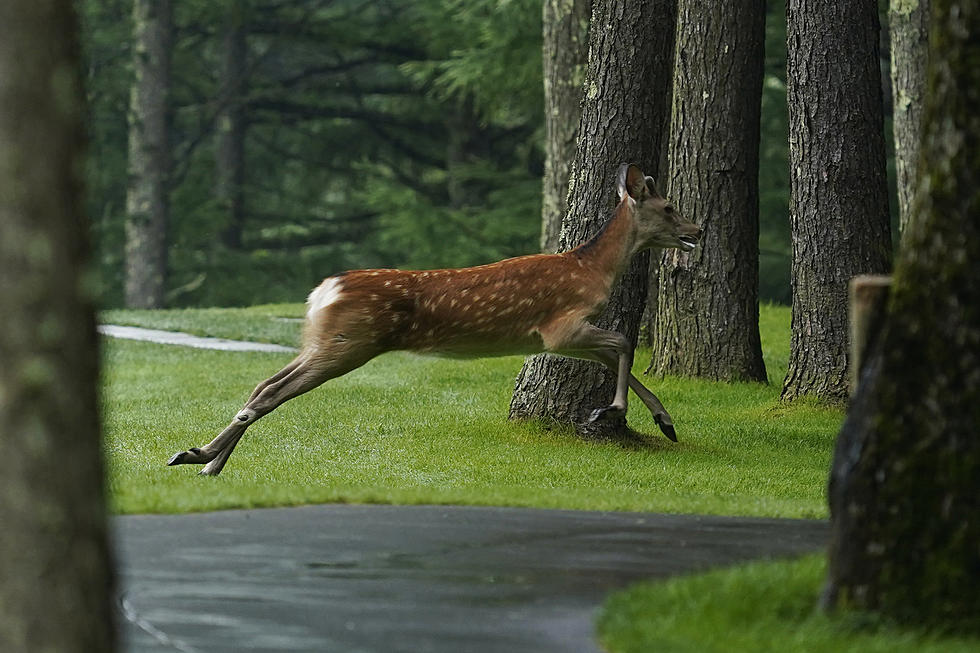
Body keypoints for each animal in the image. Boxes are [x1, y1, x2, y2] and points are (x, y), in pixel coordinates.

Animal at [170, 164, 704, 474]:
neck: (593, 268)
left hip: (324, 341)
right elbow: (622, 343)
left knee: (263, 384)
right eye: (669, 206)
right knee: (272, 393)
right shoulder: (558, 327)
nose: (698, 229)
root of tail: (324, 289)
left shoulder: (561, 335)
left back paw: (204, 461)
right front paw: (609, 412)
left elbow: (617, 354)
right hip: (350, 342)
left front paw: (665, 421)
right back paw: (201, 457)